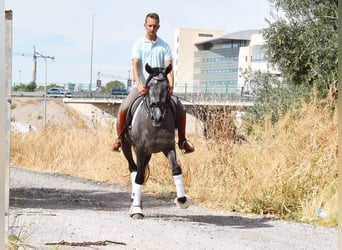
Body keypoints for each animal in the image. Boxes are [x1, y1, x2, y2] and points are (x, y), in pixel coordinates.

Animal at [121, 64, 191, 219]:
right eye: (149, 87)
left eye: (167, 87)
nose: (157, 117)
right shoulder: (140, 149)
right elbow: (139, 176)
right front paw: (137, 209)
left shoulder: (168, 147)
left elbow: (176, 169)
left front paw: (182, 200)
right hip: (127, 146)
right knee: (133, 168)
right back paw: (135, 200)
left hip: (148, 153)